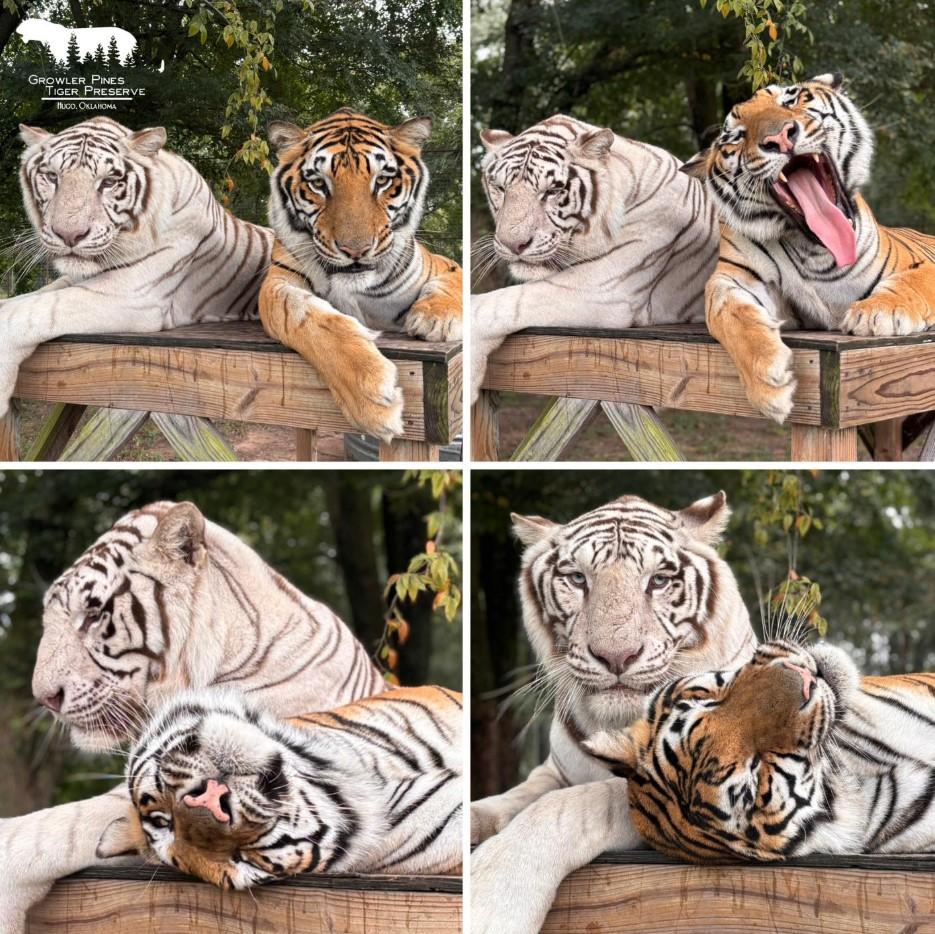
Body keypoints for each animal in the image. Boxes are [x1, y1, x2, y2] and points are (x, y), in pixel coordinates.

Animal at [0, 116, 274, 420]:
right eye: (51, 177)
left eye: (108, 182)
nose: (69, 235)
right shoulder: (77, 279)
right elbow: (27, 298)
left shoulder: (134, 294)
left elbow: (34, 310)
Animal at [259, 108, 463, 442]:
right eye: (318, 183)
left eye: (382, 180)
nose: (356, 250)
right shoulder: (277, 282)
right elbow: (298, 315)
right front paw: (373, 399)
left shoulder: (443, 264)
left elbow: (452, 283)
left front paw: (436, 319)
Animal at [470, 491, 756, 934]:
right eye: (577, 579)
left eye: (659, 580)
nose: (616, 656)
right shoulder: (553, 769)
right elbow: (516, 795)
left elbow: (569, 805)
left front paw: (489, 900)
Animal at [681, 73, 935, 422]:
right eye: (736, 135)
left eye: (791, 100)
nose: (779, 138)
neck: (816, 251)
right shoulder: (732, 279)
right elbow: (726, 311)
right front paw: (769, 380)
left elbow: (915, 280)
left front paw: (878, 312)